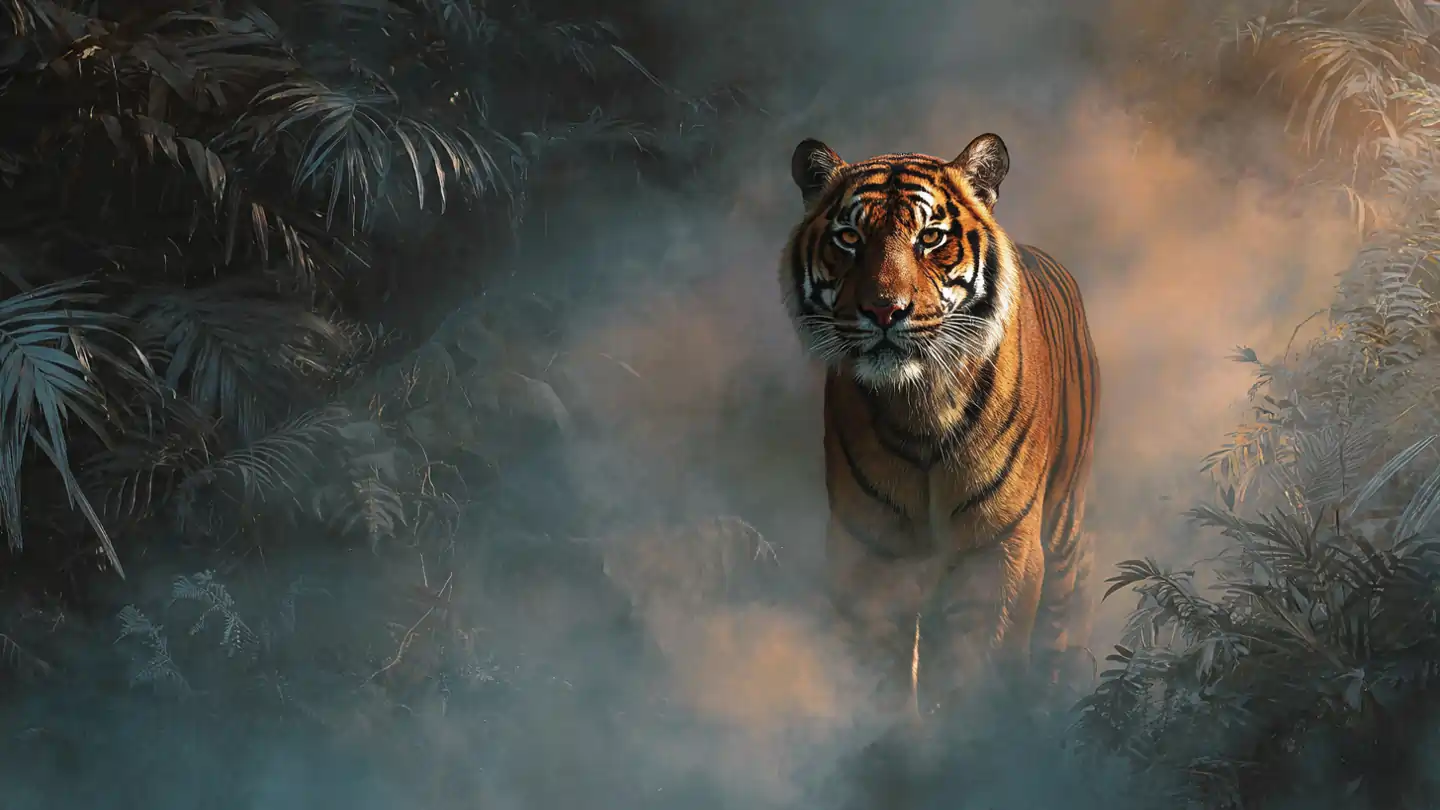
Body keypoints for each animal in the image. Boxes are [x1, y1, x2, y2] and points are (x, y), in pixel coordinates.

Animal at [778, 132, 1100, 720]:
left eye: (930, 237)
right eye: (849, 237)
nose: (885, 311)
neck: (920, 405)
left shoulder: (999, 545)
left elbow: (976, 662)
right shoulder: (868, 546)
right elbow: (879, 673)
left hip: (1064, 522)